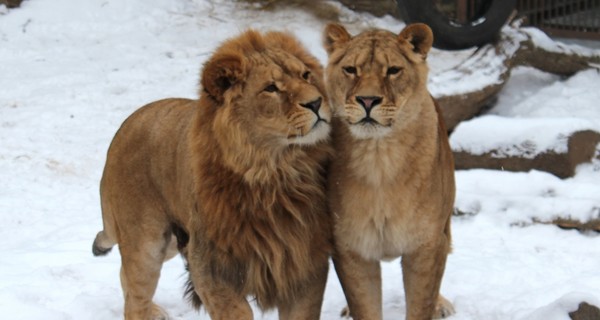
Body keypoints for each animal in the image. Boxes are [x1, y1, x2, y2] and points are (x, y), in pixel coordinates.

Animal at [96, 30, 336, 320]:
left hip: (169, 243)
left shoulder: (305, 262)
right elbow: (236, 312)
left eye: (306, 75)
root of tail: (128, 123)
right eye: (271, 88)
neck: (273, 172)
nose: (317, 102)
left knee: (126, 280)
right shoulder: (210, 267)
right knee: (135, 298)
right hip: (146, 244)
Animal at [324, 23, 454, 320]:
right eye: (350, 69)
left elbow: (421, 304)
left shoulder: (426, 245)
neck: (378, 157)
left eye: (393, 70)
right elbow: (364, 307)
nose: (367, 100)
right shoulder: (351, 249)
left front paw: (432, 306)